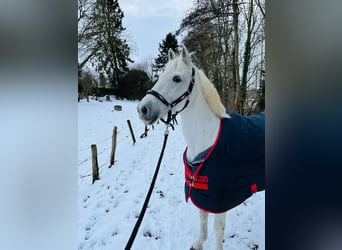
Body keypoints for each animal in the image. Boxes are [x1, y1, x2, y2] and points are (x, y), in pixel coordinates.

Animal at [137, 45, 264, 250]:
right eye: (161, 75)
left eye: (177, 78)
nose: (142, 109)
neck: (207, 138)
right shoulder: (203, 193)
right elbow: (203, 219)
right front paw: (198, 244)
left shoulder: (221, 199)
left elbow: (218, 230)